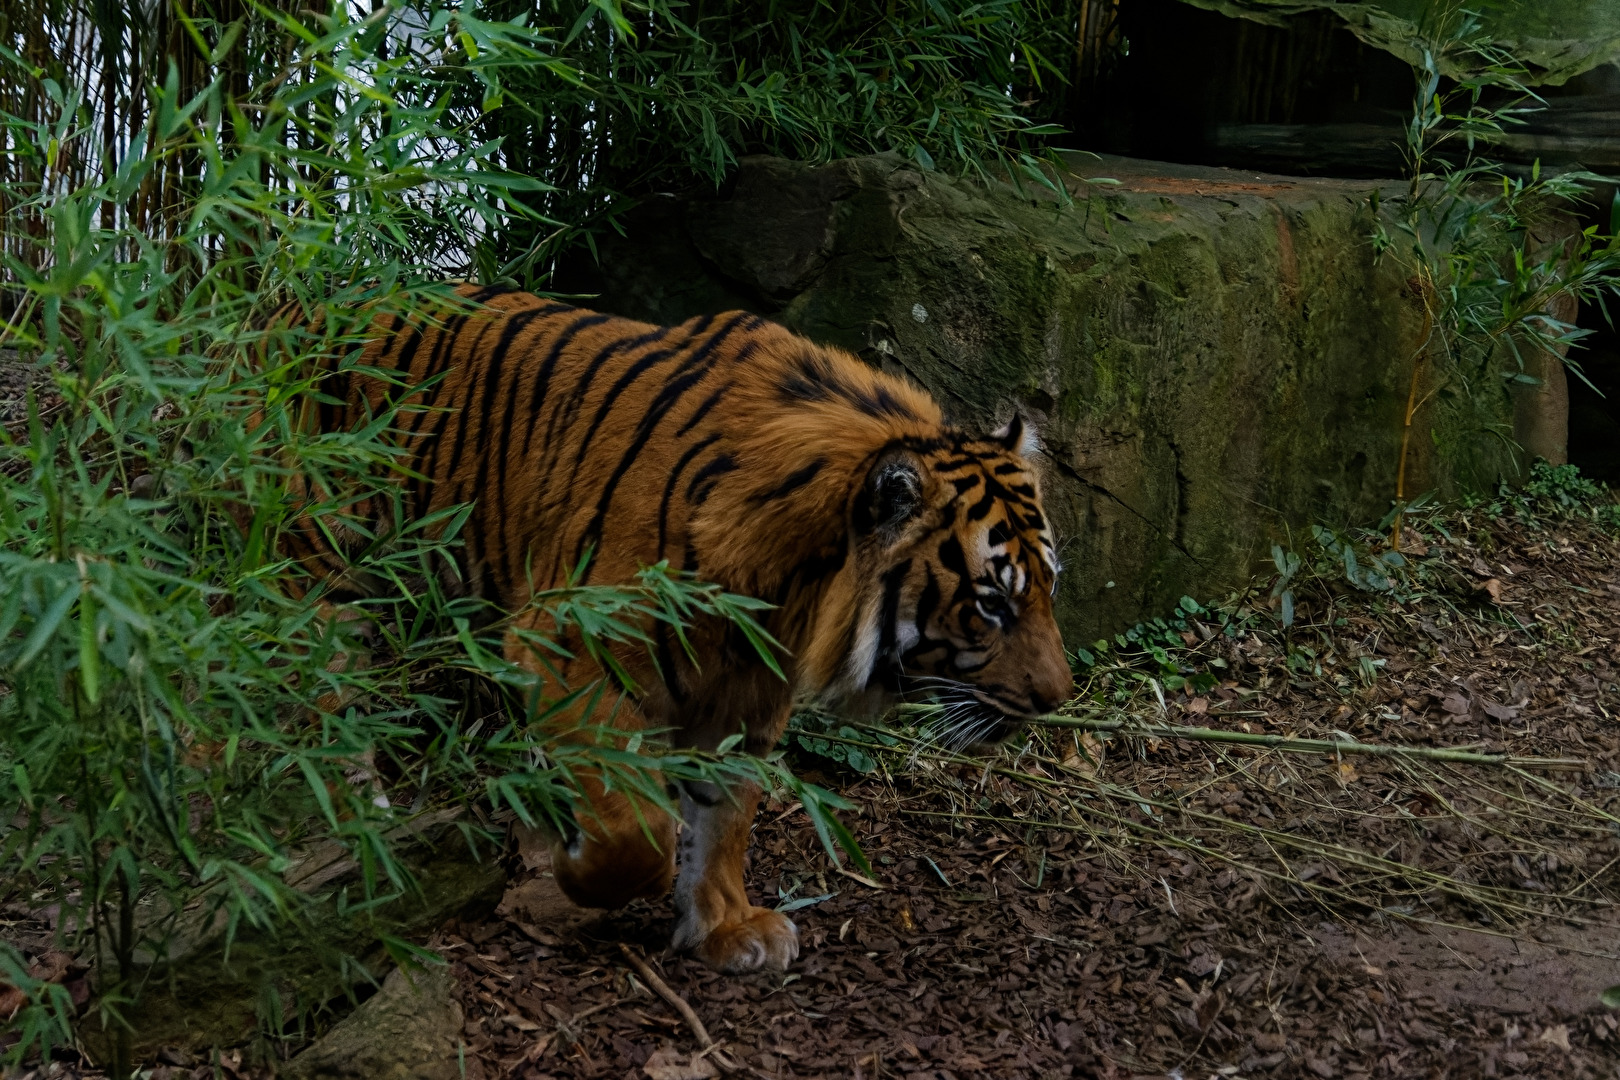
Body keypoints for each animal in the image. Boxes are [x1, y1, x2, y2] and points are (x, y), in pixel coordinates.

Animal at [281, 284, 1073, 973]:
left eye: (1048, 589)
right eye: (992, 603)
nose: (1059, 698)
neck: (789, 589)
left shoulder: (744, 695)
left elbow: (723, 820)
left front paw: (725, 928)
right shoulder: (570, 650)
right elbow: (638, 829)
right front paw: (574, 868)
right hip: (317, 588)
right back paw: (356, 820)